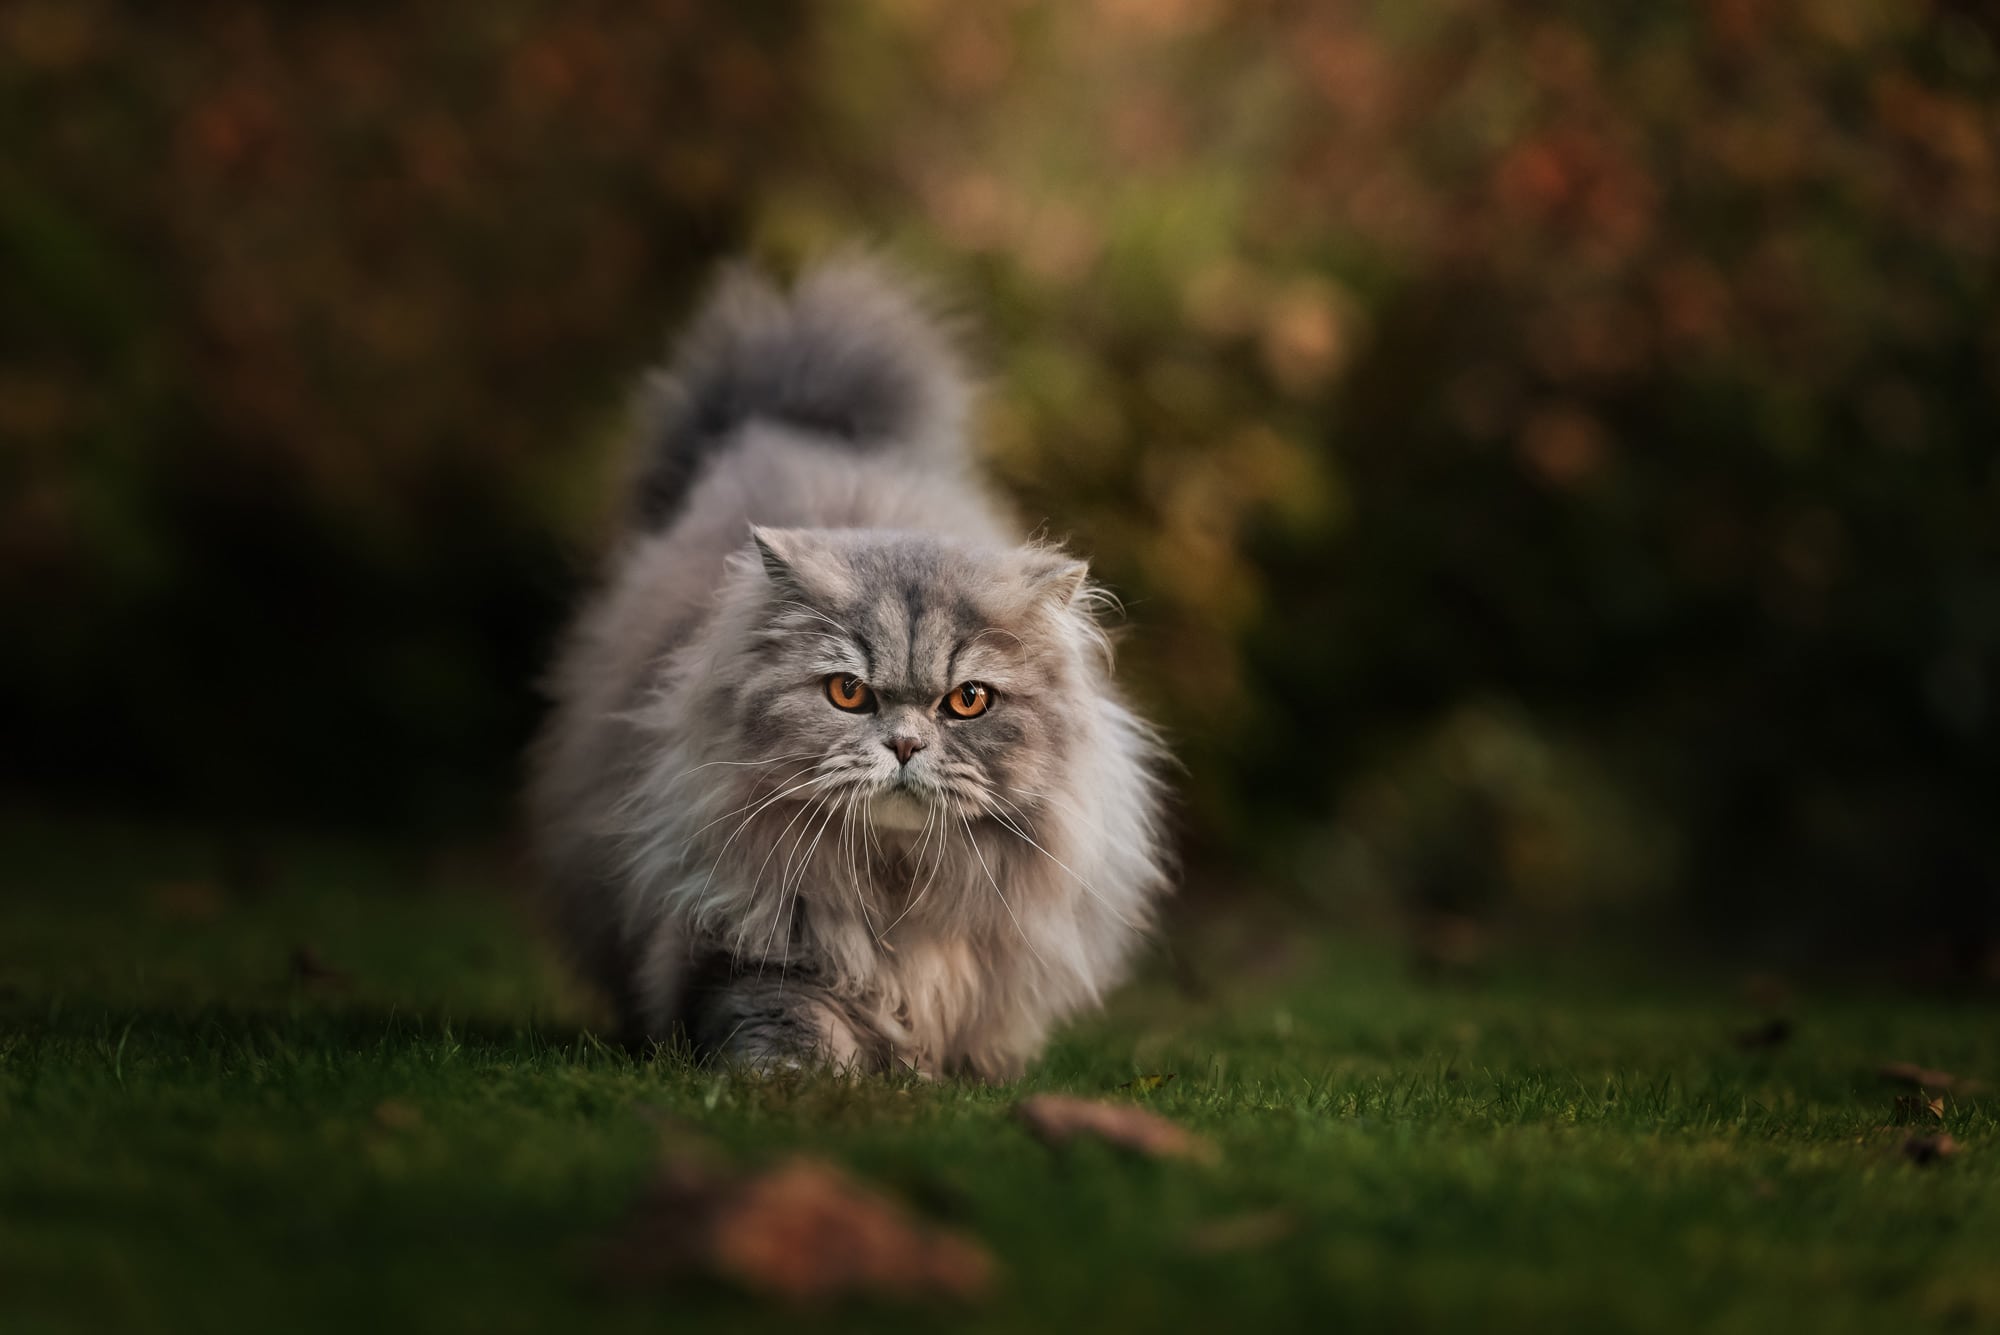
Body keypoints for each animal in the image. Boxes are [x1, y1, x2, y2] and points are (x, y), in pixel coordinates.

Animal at [524, 255, 1168, 1079]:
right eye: (848, 693)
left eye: (968, 701)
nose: (905, 745)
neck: (896, 894)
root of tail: (786, 427)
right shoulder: (745, 947)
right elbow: (792, 1017)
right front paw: (798, 1080)